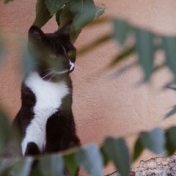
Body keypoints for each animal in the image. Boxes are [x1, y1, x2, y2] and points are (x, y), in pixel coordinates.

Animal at [13, 23, 80, 157]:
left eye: (70, 52)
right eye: (53, 56)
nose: (69, 65)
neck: (48, 83)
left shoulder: (61, 119)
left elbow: (54, 151)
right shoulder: (29, 120)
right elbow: (30, 148)